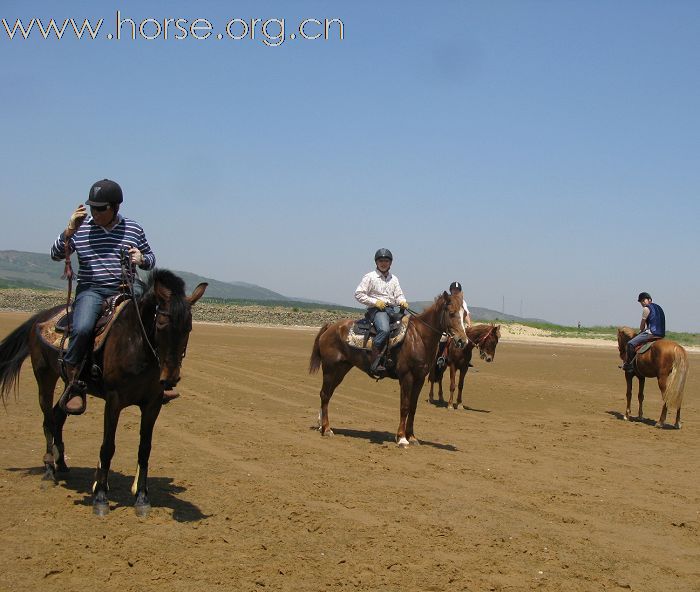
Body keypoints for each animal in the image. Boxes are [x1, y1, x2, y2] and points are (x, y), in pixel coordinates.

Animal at [0, 270, 206, 516]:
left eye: (188, 328)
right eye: (162, 324)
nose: (171, 378)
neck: (135, 344)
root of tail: (41, 316)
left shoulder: (152, 403)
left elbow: (144, 449)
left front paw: (142, 498)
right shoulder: (114, 401)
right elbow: (108, 447)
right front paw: (100, 497)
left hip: (67, 387)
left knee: (58, 416)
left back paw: (62, 465)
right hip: (45, 377)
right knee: (48, 420)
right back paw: (49, 471)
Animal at [308, 292, 468, 448]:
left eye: (465, 314)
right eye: (451, 313)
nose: (463, 341)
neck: (419, 337)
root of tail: (330, 327)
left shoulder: (420, 378)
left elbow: (413, 407)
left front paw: (412, 437)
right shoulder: (407, 377)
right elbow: (404, 406)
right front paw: (402, 438)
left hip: (341, 369)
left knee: (328, 394)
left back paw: (321, 425)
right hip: (330, 369)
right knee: (324, 395)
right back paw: (327, 429)